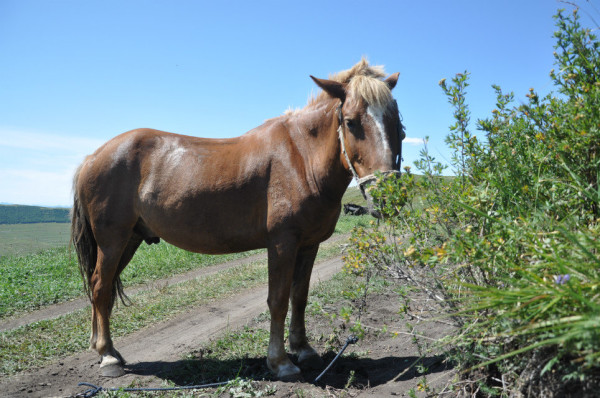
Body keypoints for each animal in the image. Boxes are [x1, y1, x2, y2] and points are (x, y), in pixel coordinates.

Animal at [72, 58, 406, 380]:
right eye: (350, 122)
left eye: (397, 125)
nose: (387, 197)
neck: (301, 158)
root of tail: (91, 158)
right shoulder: (282, 244)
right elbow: (278, 299)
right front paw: (280, 362)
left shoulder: (309, 245)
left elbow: (299, 296)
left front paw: (304, 349)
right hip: (112, 241)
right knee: (100, 287)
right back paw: (108, 356)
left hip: (130, 239)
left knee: (102, 287)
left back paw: (102, 347)